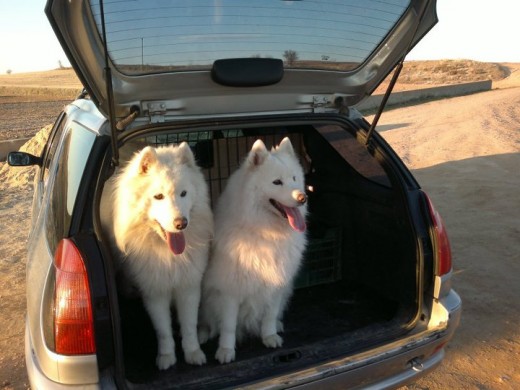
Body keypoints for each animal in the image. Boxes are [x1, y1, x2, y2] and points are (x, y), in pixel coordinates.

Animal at [105, 142, 213, 368]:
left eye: (183, 193)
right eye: (158, 196)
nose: (181, 223)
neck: (168, 254)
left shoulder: (188, 286)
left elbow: (189, 326)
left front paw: (193, 352)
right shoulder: (154, 291)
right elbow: (162, 330)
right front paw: (166, 357)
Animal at [197, 136, 306, 362]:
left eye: (294, 178)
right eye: (277, 182)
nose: (303, 198)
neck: (267, 233)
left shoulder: (277, 283)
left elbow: (269, 315)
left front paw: (269, 336)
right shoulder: (229, 291)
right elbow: (228, 326)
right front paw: (226, 351)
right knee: (206, 321)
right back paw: (203, 334)